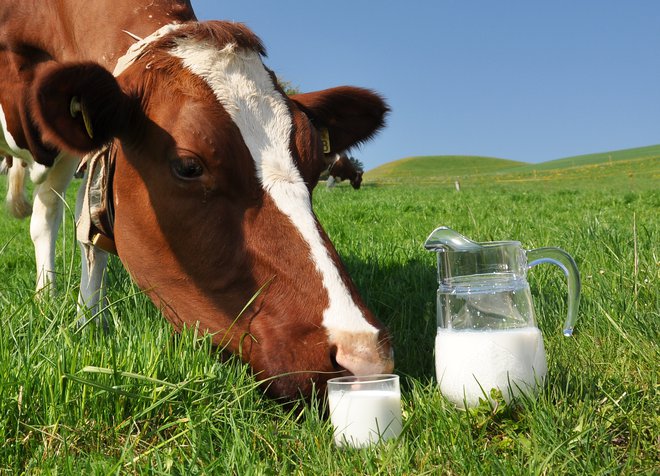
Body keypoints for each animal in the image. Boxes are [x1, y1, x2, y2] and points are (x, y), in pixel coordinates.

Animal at [0, 1, 392, 400]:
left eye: (314, 162)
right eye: (189, 166)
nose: (362, 354)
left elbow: (90, 227)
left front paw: (89, 321)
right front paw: (83, 321)